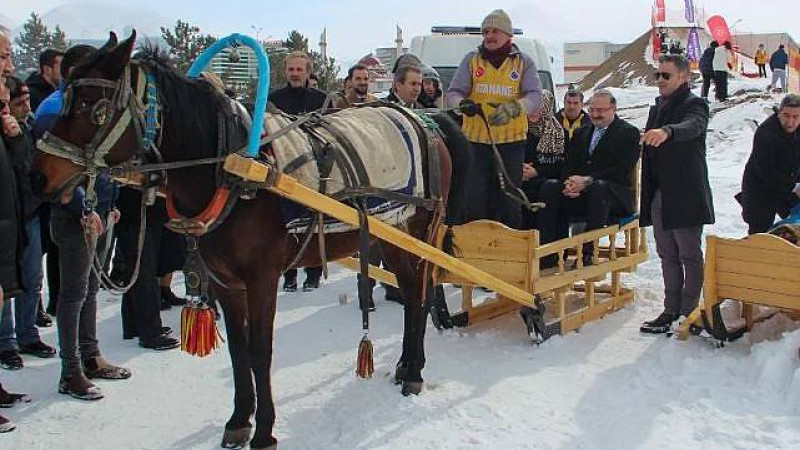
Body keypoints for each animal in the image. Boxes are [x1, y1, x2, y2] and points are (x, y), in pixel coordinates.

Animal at [32, 32, 476, 450]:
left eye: (92, 106)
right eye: (64, 98)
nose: (39, 175)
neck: (231, 168)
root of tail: (422, 118)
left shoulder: (262, 277)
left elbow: (261, 351)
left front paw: (264, 432)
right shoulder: (226, 281)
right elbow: (238, 350)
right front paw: (238, 421)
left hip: (417, 229)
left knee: (418, 294)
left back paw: (413, 371)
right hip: (392, 235)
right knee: (414, 291)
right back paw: (406, 365)